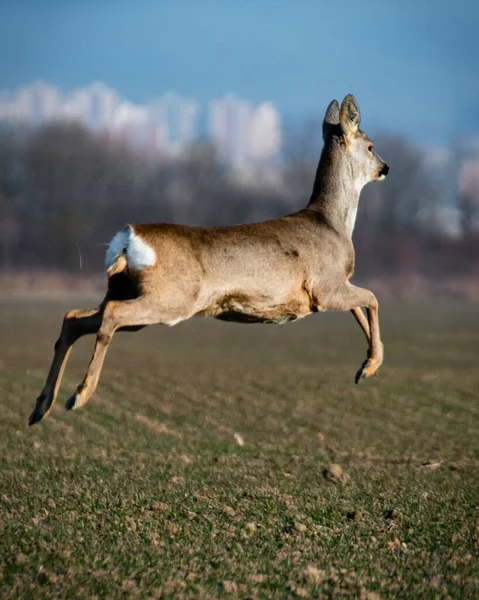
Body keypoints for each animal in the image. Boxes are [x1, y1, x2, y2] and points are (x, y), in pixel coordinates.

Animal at [28, 92, 390, 426]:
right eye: (371, 146)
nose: (386, 168)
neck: (333, 223)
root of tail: (128, 238)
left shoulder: (336, 286)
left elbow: (361, 308)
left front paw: (363, 368)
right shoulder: (325, 288)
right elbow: (372, 299)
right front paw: (370, 367)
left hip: (126, 291)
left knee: (74, 318)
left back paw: (41, 407)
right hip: (171, 298)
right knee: (110, 316)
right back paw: (79, 395)